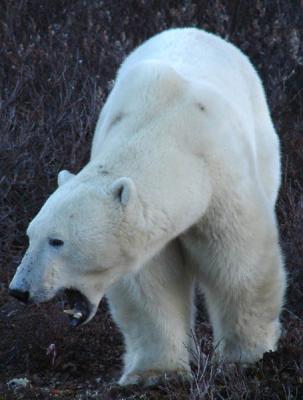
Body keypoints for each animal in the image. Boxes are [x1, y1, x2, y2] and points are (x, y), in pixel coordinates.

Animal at [8, 28, 286, 384]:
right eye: (30, 235)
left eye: (57, 241)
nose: (19, 289)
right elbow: (150, 287)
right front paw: (155, 372)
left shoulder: (221, 179)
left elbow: (239, 264)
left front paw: (246, 359)